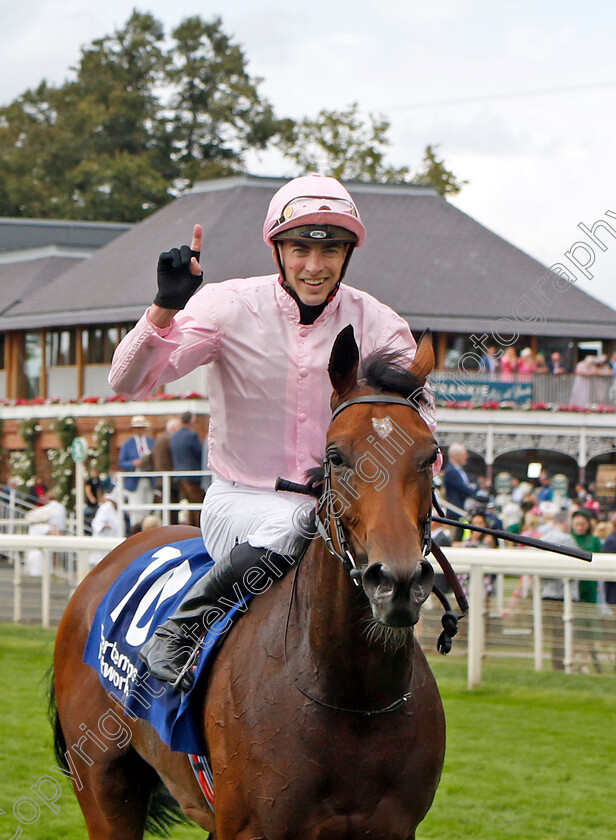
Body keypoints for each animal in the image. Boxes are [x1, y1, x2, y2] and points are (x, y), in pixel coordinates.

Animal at [48, 328, 442, 840]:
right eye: (336, 455)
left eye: (430, 455)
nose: (397, 581)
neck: (352, 697)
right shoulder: (250, 827)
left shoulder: (392, 827)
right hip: (103, 787)